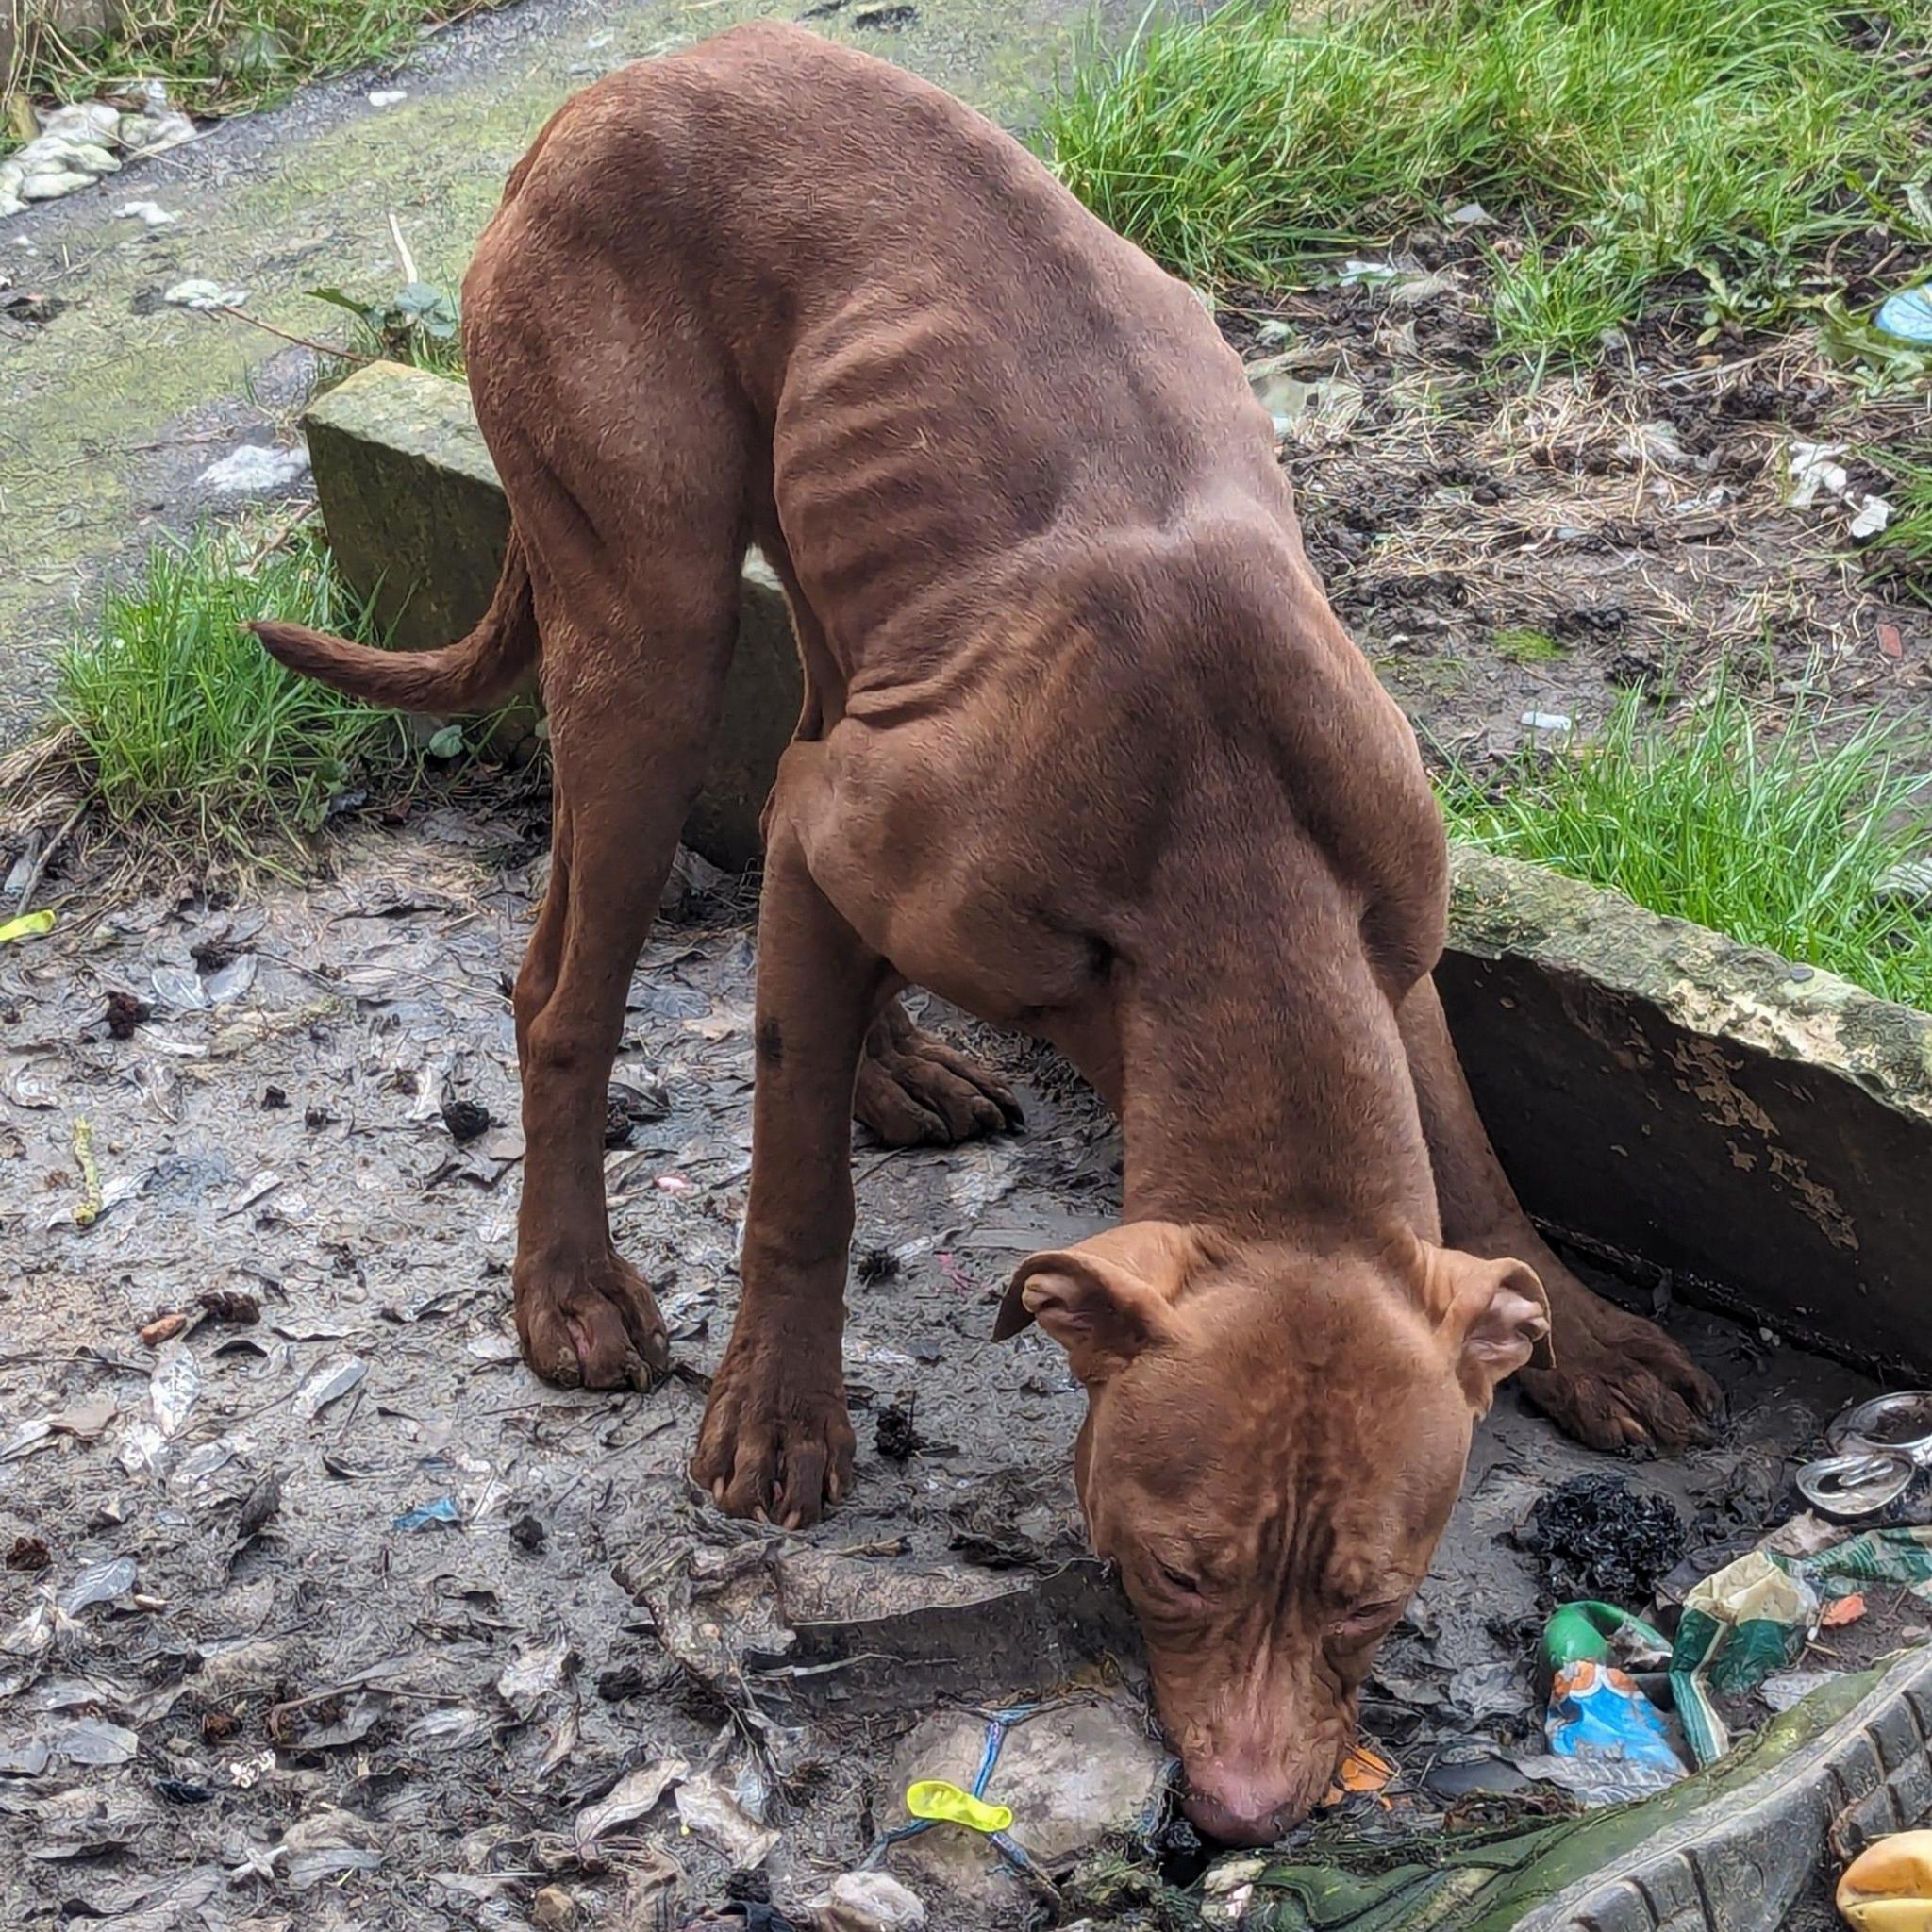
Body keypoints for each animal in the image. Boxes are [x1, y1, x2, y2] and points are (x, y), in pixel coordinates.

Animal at [257, 26, 1723, 1839]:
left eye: (1373, 1600)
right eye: (1170, 1570)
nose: (1239, 1816)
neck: (1230, 871)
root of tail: (614, 86)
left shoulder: (1389, 947)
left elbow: (1476, 1159)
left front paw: (1580, 1339)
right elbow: (793, 1184)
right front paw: (777, 1410)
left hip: (841, 588)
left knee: (798, 788)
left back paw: (890, 1068)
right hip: (648, 636)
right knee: (563, 991)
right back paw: (572, 1287)